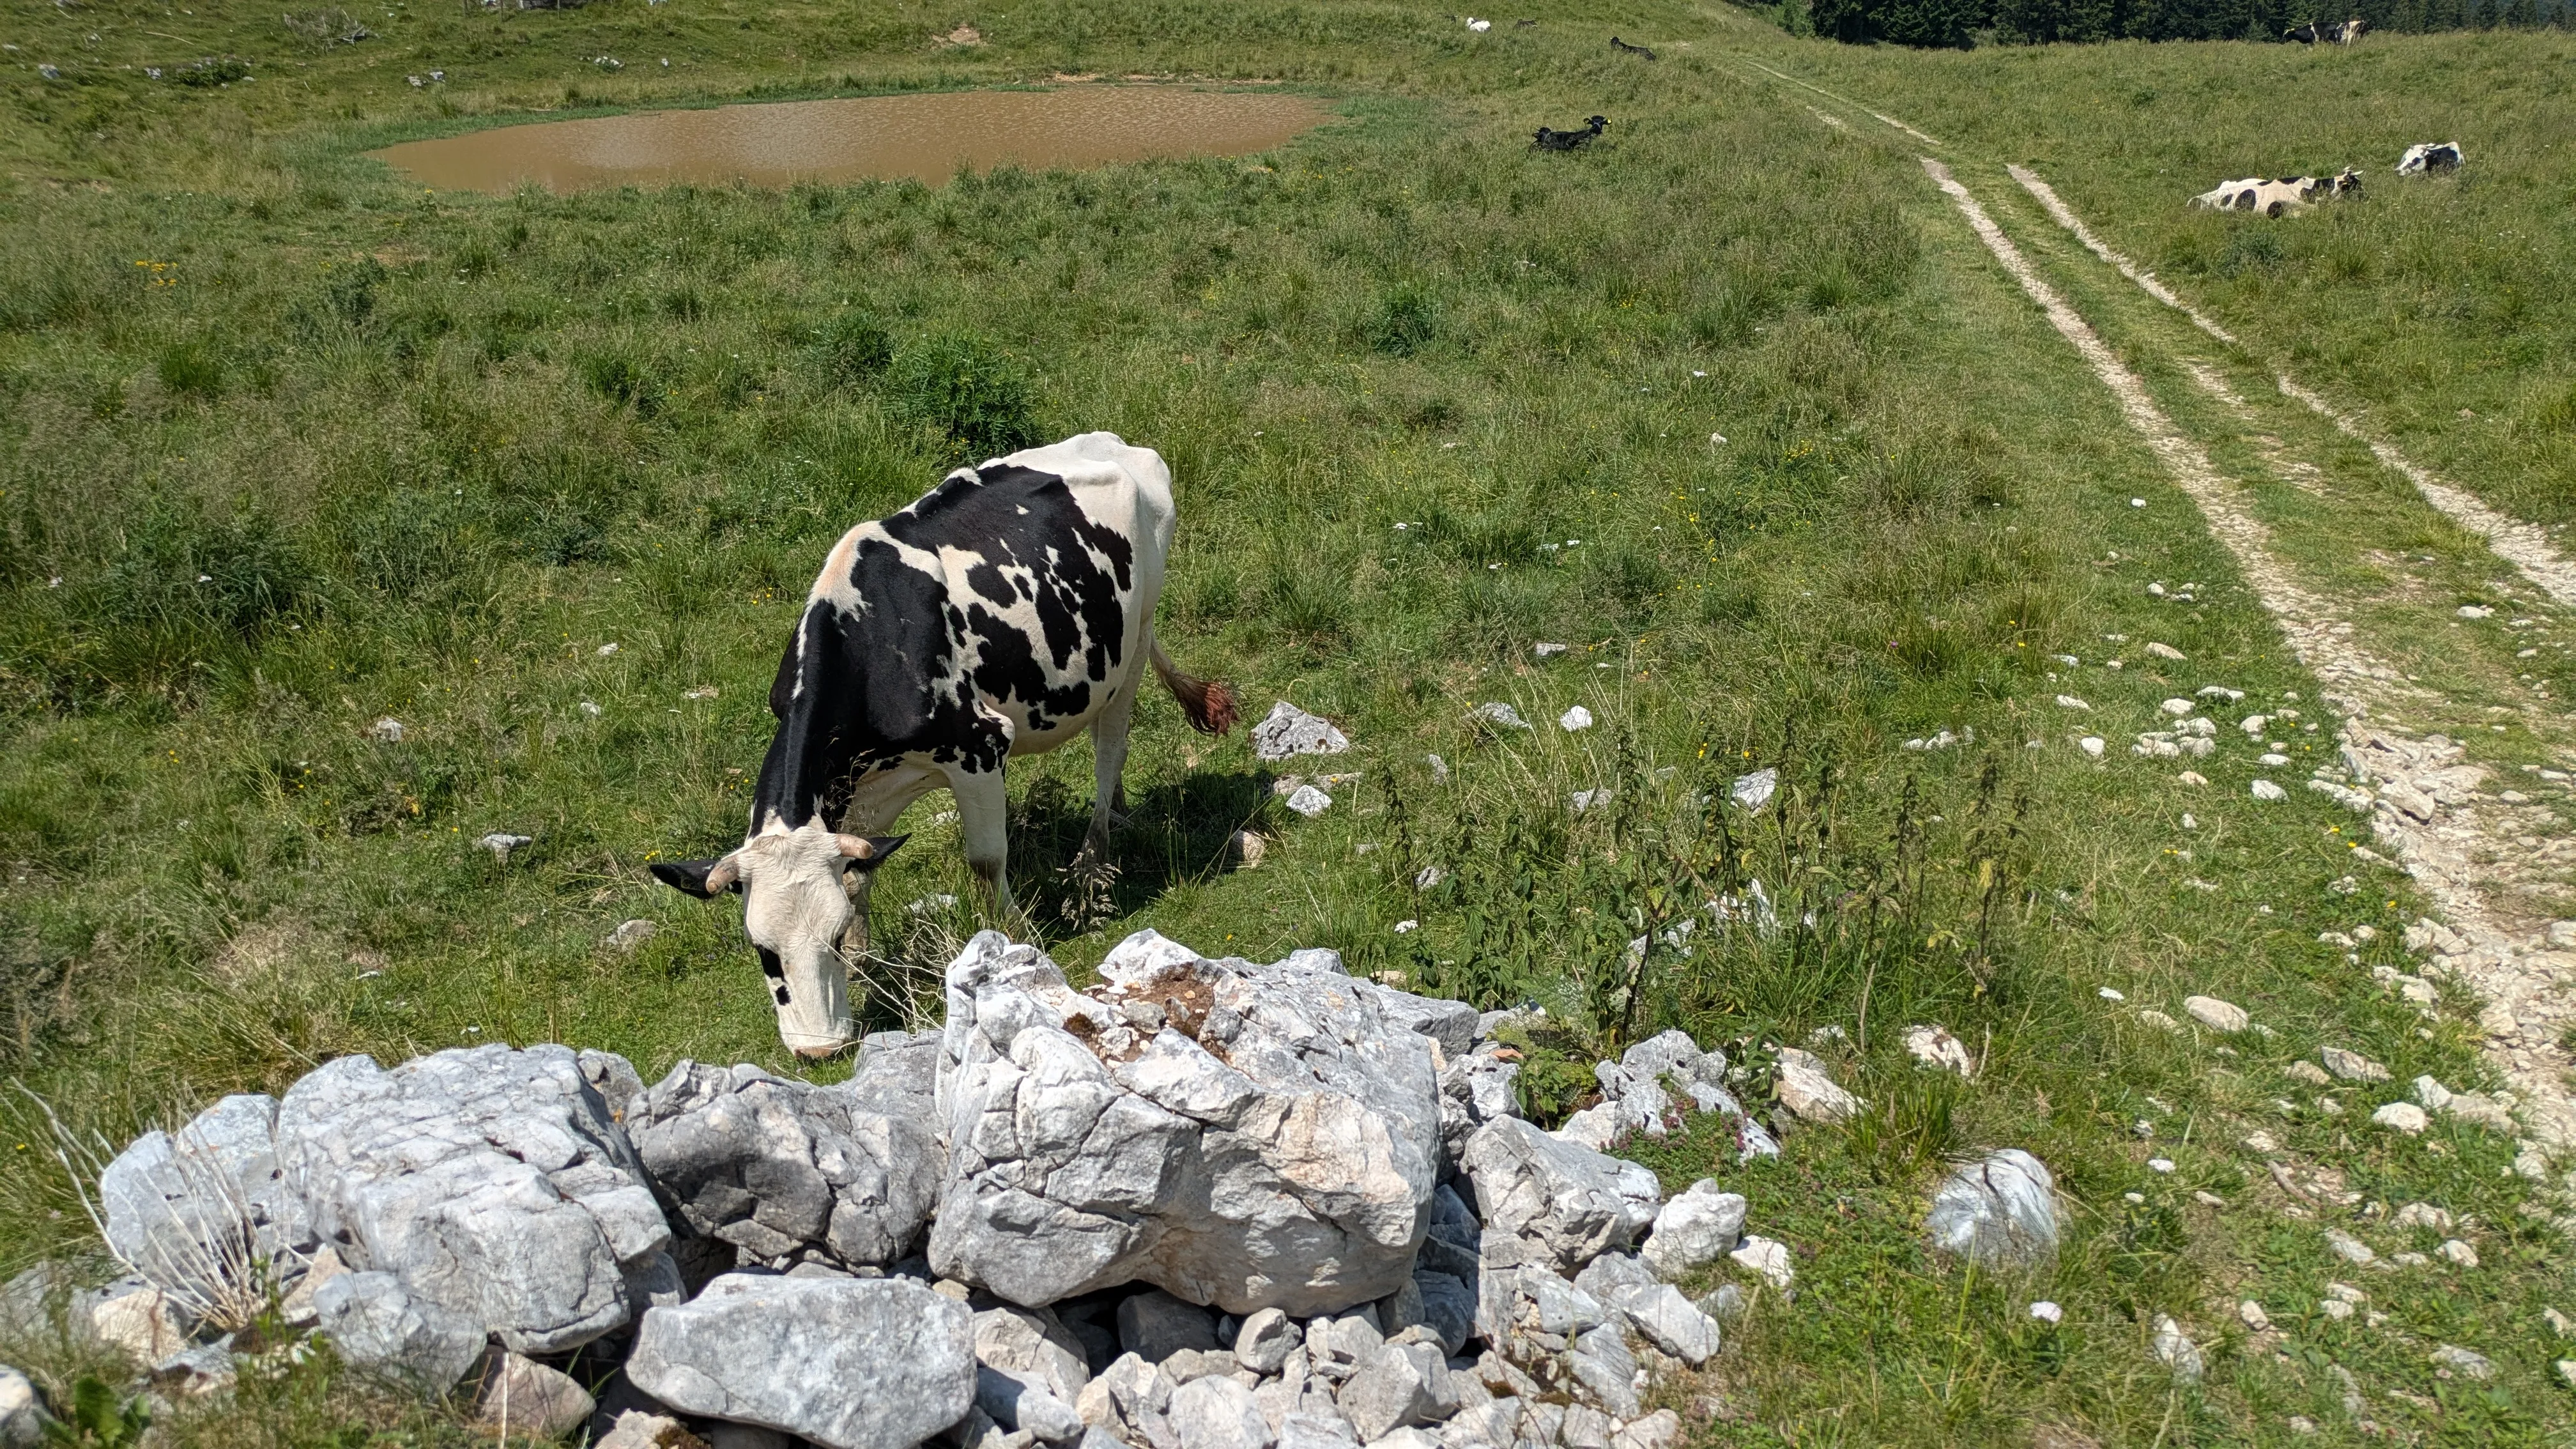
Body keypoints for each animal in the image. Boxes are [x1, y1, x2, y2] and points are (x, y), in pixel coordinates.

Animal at [649, 432, 1237, 1056]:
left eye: (830, 936)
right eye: (765, 953)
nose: (821, 1050)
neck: (872, 644)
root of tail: (1117, 443)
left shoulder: (979, 747)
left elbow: (986, 858)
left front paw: (1014, 933)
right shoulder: (858, 783)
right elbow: (857, 869)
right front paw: (864, 956)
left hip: (1134, 641)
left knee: (1110, 749)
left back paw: (1091, 862)